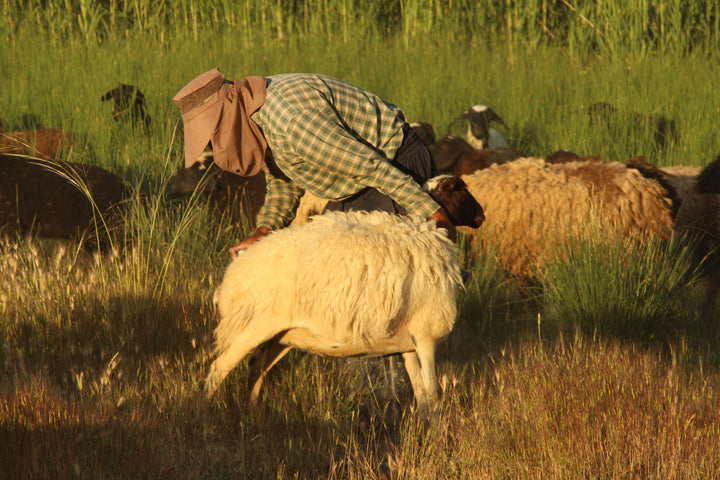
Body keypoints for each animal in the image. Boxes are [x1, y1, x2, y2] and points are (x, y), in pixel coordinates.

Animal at [204, 209, 462, 412]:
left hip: (278, 336)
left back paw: (252, 413)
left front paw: (422, 430)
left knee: (256, 371)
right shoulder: (426, 336)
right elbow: (432, 395)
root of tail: (228, 280)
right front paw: (433, 436)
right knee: (218, 368)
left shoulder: (409, 343)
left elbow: (422, 395)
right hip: (251, 325)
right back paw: (205, 414)